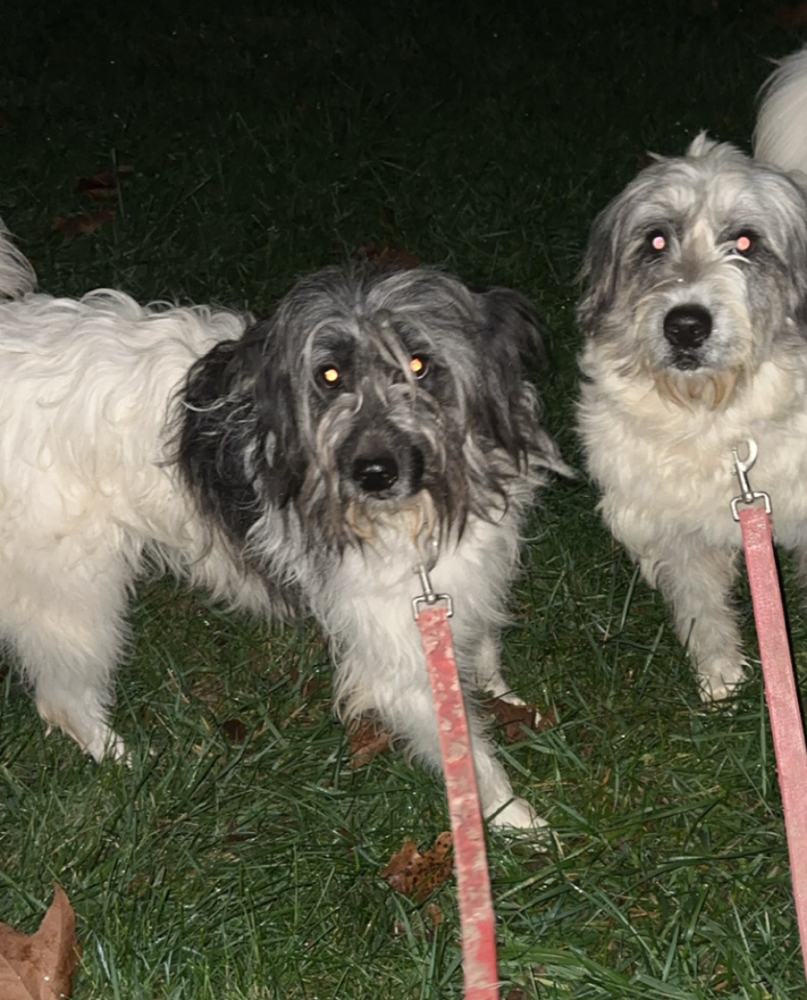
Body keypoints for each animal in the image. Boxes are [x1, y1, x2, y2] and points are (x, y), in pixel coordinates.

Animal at [0, 227, 568, 828]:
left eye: (419, 365)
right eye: (329, 375)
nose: (372, 474)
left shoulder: (469, 577)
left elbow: (482, 646)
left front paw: (501, 695)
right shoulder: (397, 648)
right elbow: (465, 752)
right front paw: (511, 816)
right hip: (71, 592)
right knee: (62, 697)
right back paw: (121, 756)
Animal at [580, 48, 807, 704]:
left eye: (746, 242)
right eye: (656, 240)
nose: (685, 325)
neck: (715, 417)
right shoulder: (677, 533)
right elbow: (702, 609)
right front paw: (722, 681)